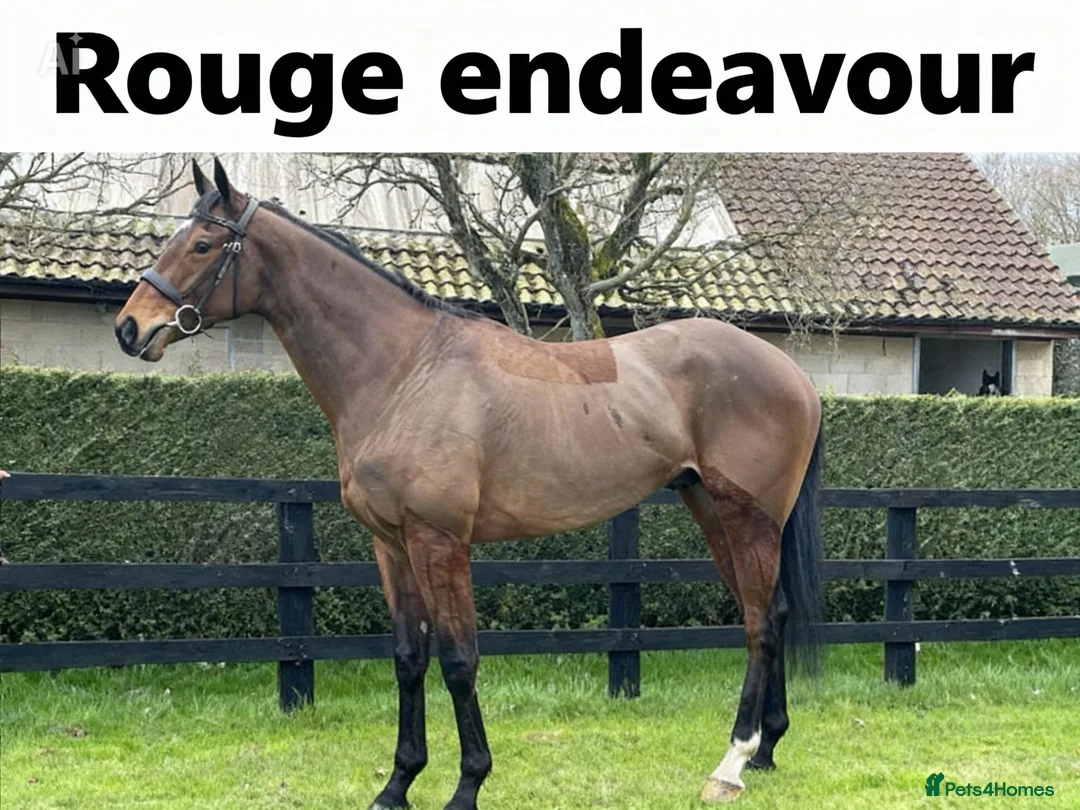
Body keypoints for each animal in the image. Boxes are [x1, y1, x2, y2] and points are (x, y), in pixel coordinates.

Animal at [113, 158, 825, 808]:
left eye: (203, 244)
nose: (130, 327)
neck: (404, 371)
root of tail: (791, 371)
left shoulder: (440, 542)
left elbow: (458, 660)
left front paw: (466, 786)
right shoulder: (392, 545)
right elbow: (409, 657)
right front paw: (397, 785)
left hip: (746, 516)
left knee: (759, 623)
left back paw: (731, 764)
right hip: (709, 508)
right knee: (768, 613)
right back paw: (766, 751)